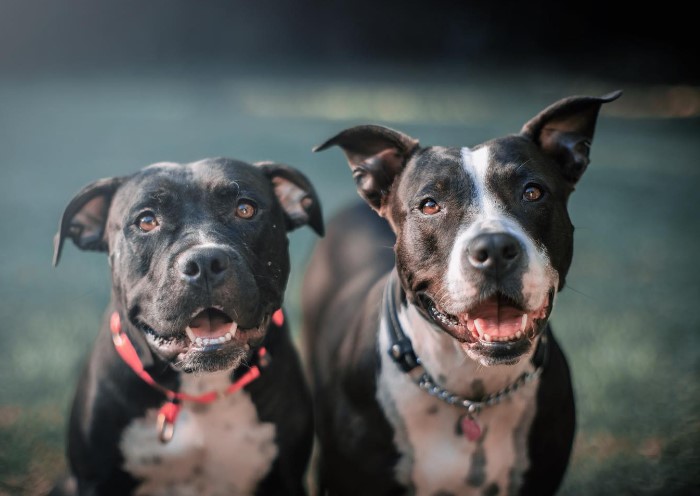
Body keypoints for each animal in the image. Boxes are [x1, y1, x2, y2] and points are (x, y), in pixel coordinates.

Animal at [53, 159, 324, 496]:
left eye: (245, 209)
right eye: (146, 221)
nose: (205, 261)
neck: (200, 389)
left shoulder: (286, 479)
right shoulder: (95, 482)